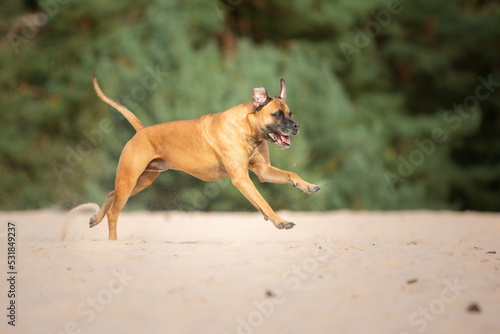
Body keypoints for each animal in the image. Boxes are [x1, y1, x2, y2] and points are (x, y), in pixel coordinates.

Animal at [90, 74, 320, 239]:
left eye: (290, 113)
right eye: (277, 115)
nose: (296, 126)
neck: (247, 129)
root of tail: (142, 130)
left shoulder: (263, 171)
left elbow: (290, 174)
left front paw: (307, 185)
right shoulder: (241, 178)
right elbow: (263, 201)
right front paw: (280, 221)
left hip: (141, 181)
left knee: (111, 194)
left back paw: (95, 218)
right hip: (129, 179)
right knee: (114, 213)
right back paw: (113, 242)